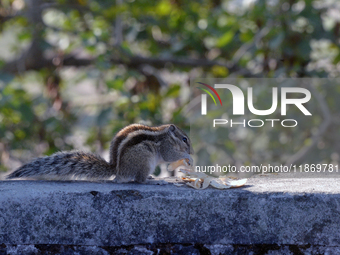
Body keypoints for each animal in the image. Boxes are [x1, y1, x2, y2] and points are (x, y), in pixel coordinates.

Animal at [6, 124, 194, 182]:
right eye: (185, 139)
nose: (191, 150)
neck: (167, 135)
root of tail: (117, 170)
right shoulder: (165, 148)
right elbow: (170, 156)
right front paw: (188, 157)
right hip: (145, 158)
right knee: (138, 179)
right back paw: (149, 179)